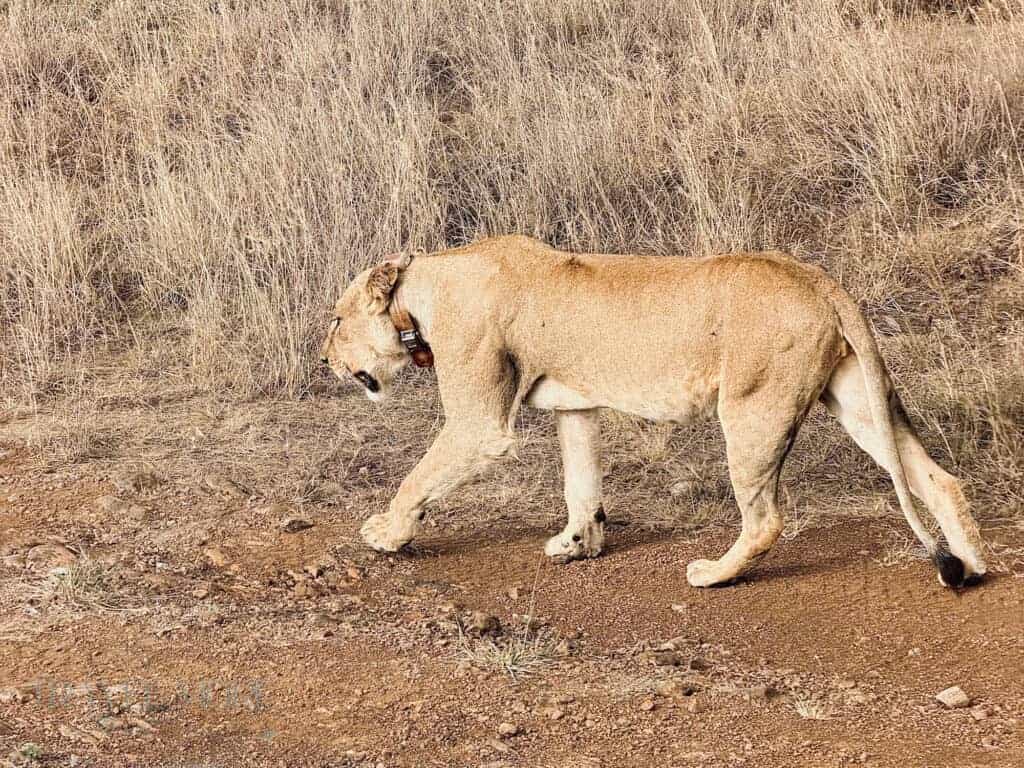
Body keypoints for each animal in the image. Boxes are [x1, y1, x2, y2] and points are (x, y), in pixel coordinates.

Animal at [320, 235, 986, 588]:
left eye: (335, 319)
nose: (324, 356)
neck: (421, 292)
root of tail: (817, 278)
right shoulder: (577, 406)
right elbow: (580, 482)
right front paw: (578, 543)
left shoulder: (481, 425)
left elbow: (418, 477)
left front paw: (386, 533)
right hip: (857, 402)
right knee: (938, 478)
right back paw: (973, 564)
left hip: (752, 411)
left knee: (766, 519)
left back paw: (714, 574)